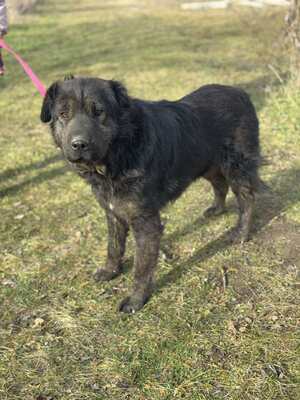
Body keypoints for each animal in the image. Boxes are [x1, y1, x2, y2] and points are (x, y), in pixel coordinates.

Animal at [40, 76, 262, 312]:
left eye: (99, 111)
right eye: (64, 114)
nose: (79, 144)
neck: (119, 154)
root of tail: (239, 91)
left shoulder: (145, 221)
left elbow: (142, 265)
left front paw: (136, 299)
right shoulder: (113, 212)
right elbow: (114, 247)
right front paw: (111, 271)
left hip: (236, 167)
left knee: (247, 198)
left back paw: (241, 234)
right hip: (206, 164)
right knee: (219, 183)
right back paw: (217, 209)